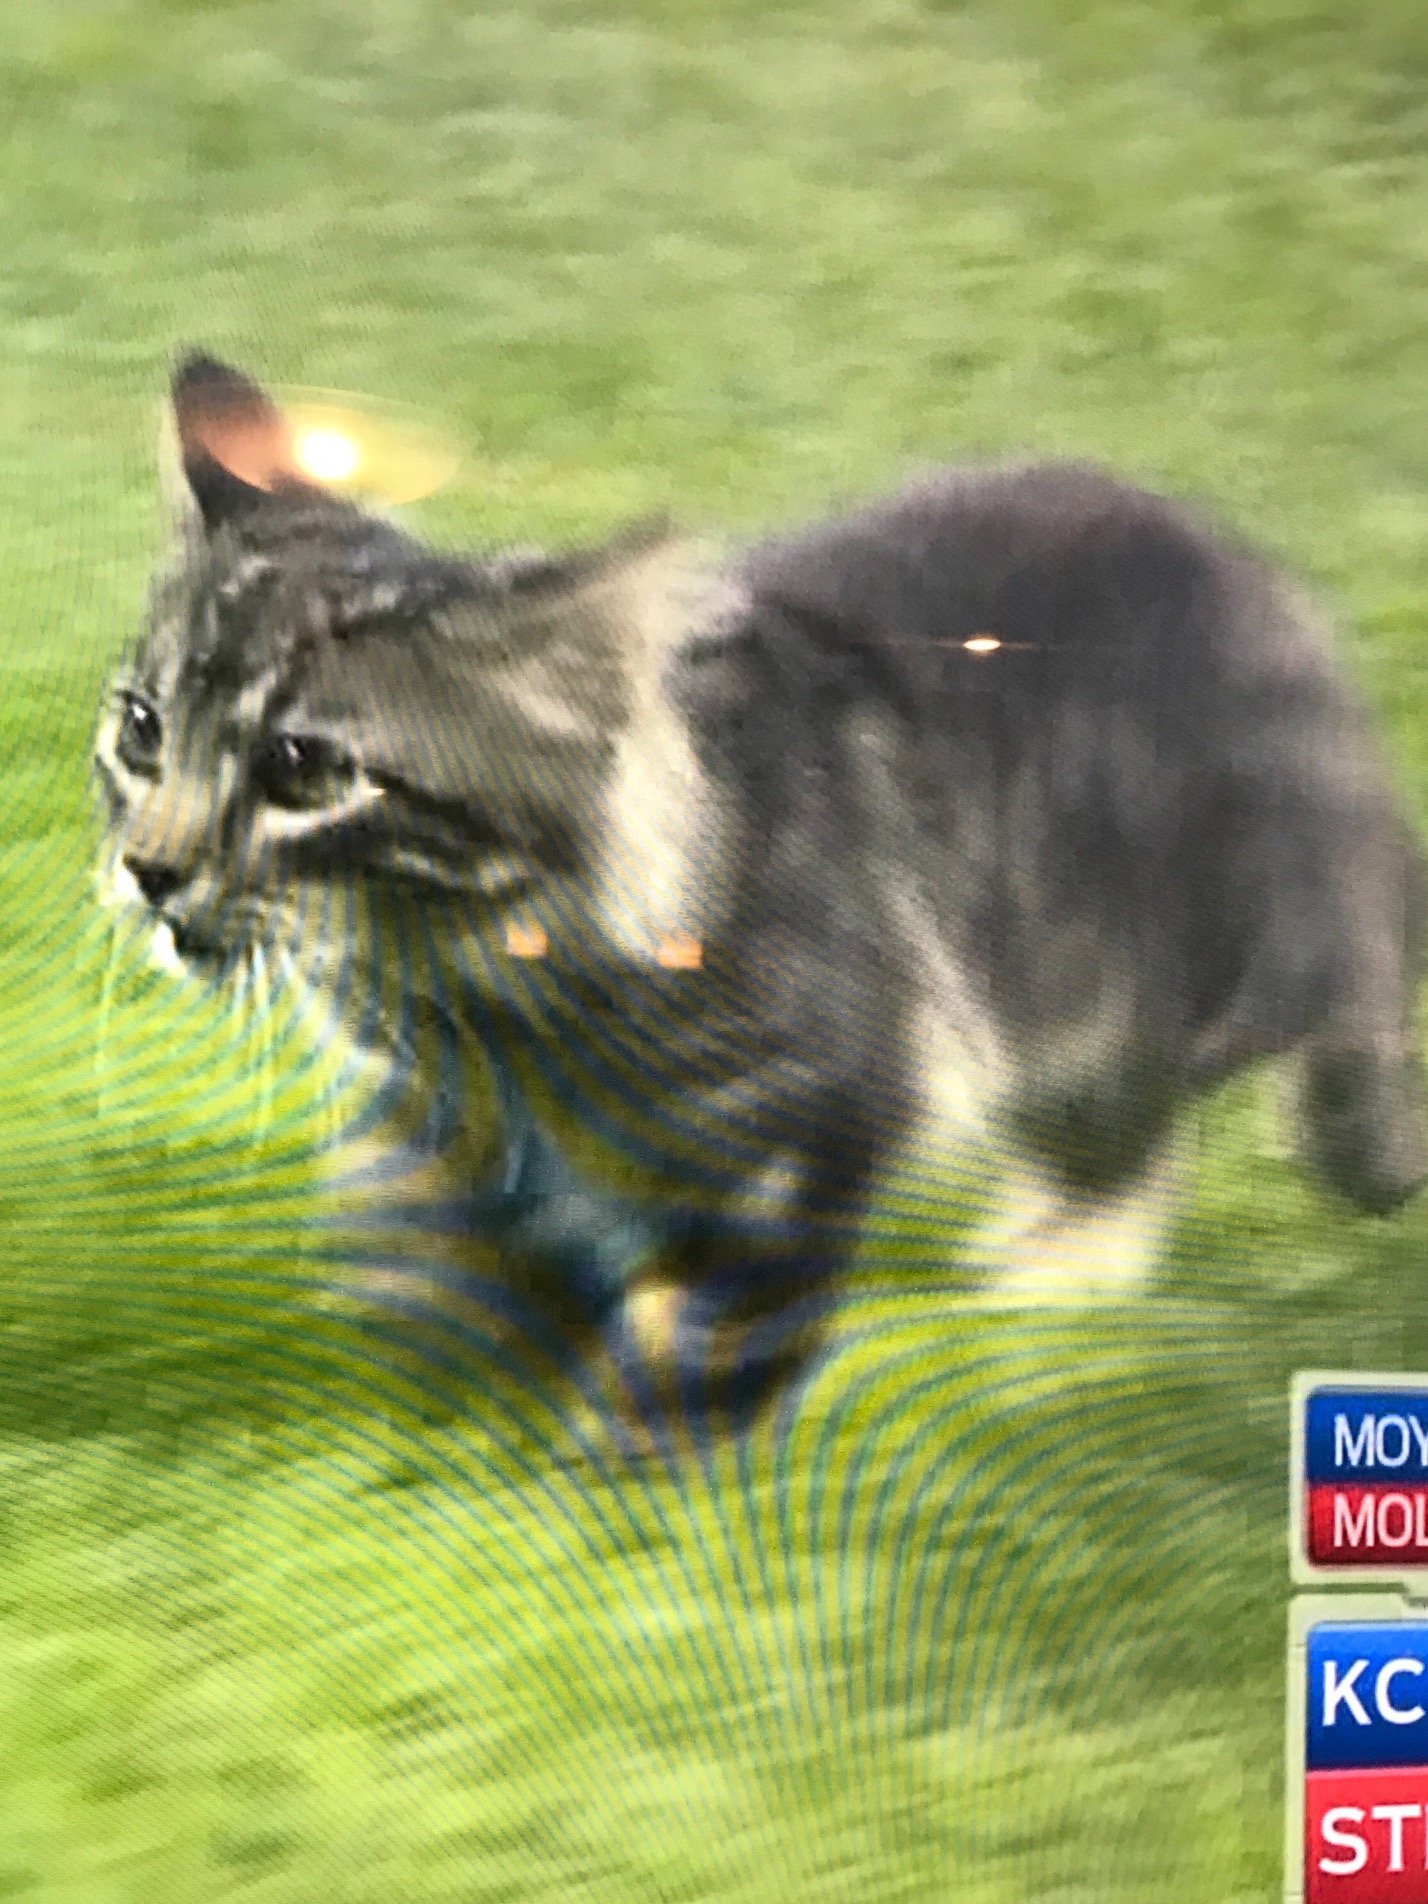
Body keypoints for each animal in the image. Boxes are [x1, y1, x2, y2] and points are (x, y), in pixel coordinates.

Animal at [95, 350, 1424, 1431]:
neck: (465, 972)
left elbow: (715, 1317)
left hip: (1207, 952)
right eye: (142, 730)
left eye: (302, 769)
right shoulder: (457, 1133)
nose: (148, 868)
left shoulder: (833, 1091)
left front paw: (636, 1466)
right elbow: (457, 1268)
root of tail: (1269, 594)